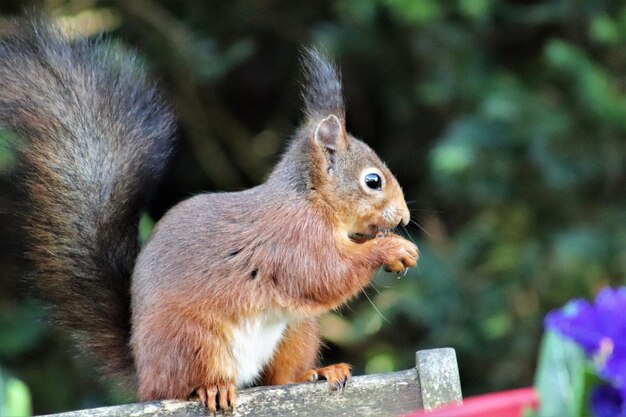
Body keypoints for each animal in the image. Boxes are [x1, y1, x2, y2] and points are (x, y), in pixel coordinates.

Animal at [1, 19, 420, 410]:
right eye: (372, 181)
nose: (402, 218)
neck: (311, 200)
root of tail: (144, 376)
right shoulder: (291, 240)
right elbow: (323, 275)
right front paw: (392, 250)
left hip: (295, 330)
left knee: (280, 377)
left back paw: (317, 372)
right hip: (194, 337)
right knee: (184, 385)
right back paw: (211, 389)